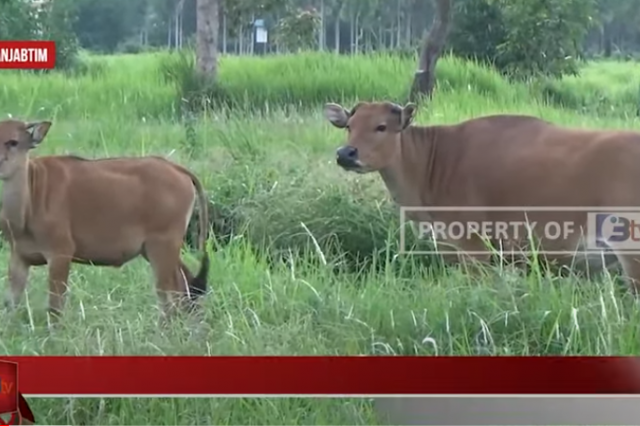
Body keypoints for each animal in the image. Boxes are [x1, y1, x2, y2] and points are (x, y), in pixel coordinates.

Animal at [0, 118, 210, 322]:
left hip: (162, 248)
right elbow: (11, 304)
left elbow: (55, 308)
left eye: (13, 142)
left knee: (170, 294)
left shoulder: (60, 255)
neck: (31, 196)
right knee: (185, 285)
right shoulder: (19, 257)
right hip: (155, 250)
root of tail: (177, 169)